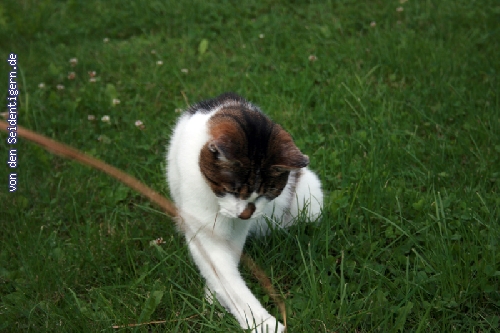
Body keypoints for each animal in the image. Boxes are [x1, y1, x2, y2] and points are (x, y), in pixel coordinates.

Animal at [167, 92, 324, 330]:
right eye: (231, 190)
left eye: (267, 193)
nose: (245, 214)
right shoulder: (203, 224)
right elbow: (226, 277)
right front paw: (263, 323)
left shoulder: (238, 230)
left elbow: (227, 265)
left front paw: (215, 297)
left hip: (310, 192)